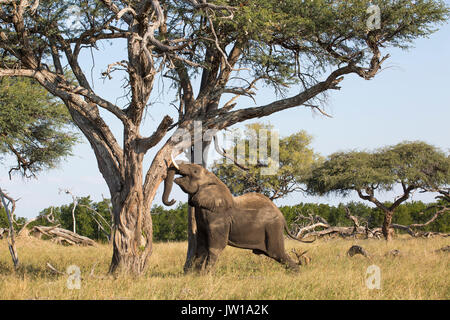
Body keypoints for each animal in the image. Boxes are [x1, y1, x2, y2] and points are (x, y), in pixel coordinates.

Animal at [162, 159, 312, 272]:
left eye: (194, 171)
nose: (172, 200)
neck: (212, 179)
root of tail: (282, 217)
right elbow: (201, 246)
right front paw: (198, 276)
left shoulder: (218, 217)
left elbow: (215, 247)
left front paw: (207, 275)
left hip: (273, 228)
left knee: (277, 253)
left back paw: (298, 275)